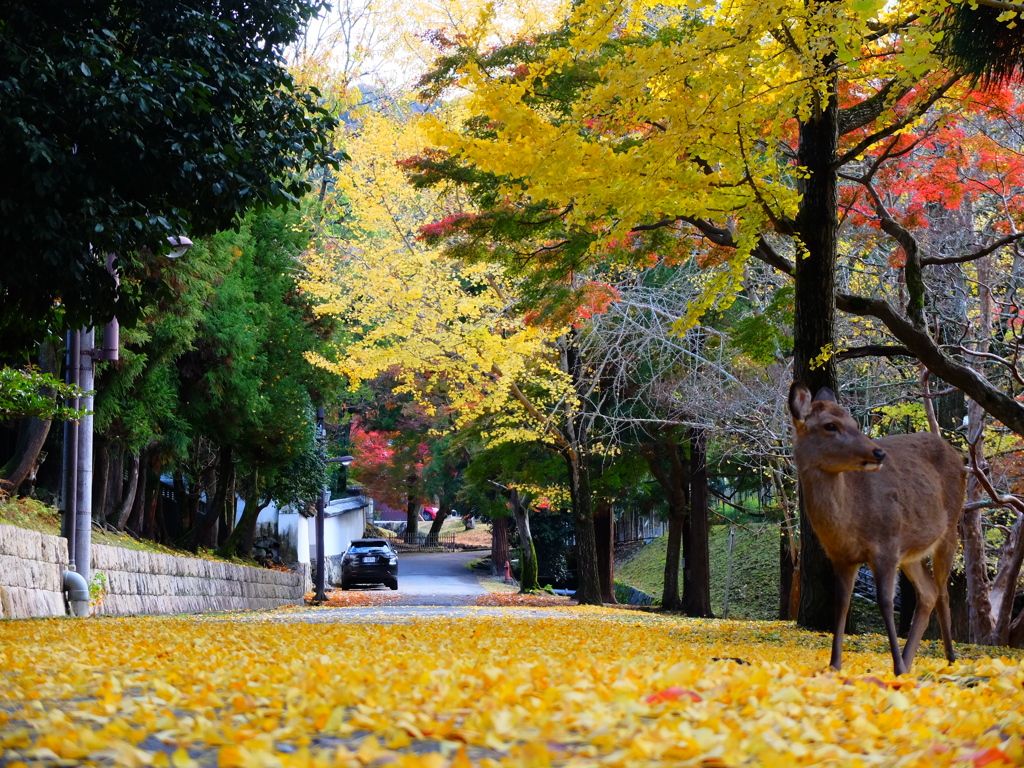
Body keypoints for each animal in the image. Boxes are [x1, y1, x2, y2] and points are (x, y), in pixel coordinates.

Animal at [786, 382, 962, 675]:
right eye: (830, 425)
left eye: (854, 422)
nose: (878, 452)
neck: (850, 523)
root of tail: (958, 456)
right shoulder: (841, 557)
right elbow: (841, 603)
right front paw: (834, 665)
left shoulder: (886, 546)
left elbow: (885, 602)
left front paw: (896, 667)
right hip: (910, 552)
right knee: (928, 592)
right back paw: (910, 662)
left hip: (952, 527)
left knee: (944, 592)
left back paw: (950, 660)